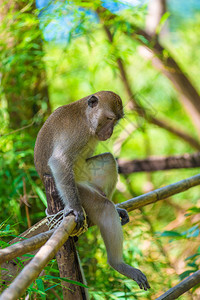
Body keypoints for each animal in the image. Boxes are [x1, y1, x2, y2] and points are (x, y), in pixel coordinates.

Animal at [34, 91, 150, 290]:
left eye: (116, 121)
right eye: (109, 118)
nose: (109, 132)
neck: (87, 119)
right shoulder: (76, 132)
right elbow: (59, 161)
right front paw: (75, 209)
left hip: (87, 177)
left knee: (108, 160)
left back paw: (114, 207)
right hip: (78, 190)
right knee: (103, 206)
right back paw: (117, 264)